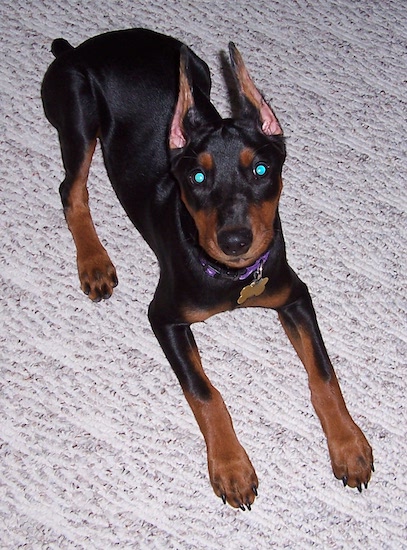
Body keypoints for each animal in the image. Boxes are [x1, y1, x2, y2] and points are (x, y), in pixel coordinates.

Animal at [40, 29, 372, 512]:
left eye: (261, 169)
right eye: (197, 178)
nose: (235, 241)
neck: (233, 279)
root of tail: (82, 48)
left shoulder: (294, 295)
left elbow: (325, 373)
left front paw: (349, 446)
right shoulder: (164, 317)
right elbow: (205, 392)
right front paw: (232, 468)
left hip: (199, 69)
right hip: (78, 112)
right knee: (72, 188)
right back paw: (94, 262)